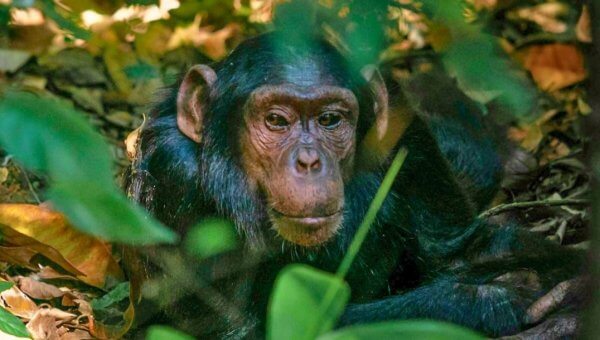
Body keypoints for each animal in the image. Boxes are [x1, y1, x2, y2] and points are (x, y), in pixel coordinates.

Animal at [125, 31, 580, 338]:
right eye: (276, 120)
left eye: (330, 119)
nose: (309, 161)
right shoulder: (175, 176)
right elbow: (252, 329)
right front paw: (494, 300)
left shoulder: (403, 128)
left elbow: (460, 251)